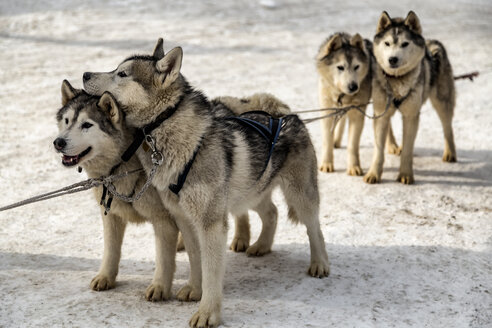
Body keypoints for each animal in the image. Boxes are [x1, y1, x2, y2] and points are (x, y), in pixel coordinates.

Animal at [53, 81, 200, 302]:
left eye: (87, 125)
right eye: (67, 120)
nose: (58, 142)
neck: (122, 167)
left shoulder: (162, 220)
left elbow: (164, 259)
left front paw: (159, 287)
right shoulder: (111, 215)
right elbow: (111, 250)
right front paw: (105, 277)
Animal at [83, 39, 330, 326]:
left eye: (121, 73)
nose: (85, 74)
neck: (185, 146)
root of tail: (288, 114)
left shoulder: (210, 224)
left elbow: (212, 271)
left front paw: (207, 313)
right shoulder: (185, 219)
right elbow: (195, 258)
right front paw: (194, 288)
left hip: (300, 196)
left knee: (314, 228)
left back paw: (320, 263)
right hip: (250, 193)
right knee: (272, 212)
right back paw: (261, 246)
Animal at [318, 33, 370, 176]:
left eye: (356, 66)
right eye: (340, 67)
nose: (353, 87)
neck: (342, 95)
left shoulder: (357, 114)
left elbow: (353, 144)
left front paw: (354, 167)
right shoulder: (327, 112)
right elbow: (327, 140)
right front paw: (326, 164)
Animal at [366, 10, 458, 184]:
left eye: (405, 44)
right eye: (387, 43)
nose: (392, 59)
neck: (397, 81)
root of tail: (431, 42)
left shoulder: (411, 115)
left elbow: (408, 149)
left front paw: (405, 174)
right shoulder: (380, 113)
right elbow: (378, 149)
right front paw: (373, 174)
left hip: (442, 102)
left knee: (447, 127)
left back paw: (450, 153)